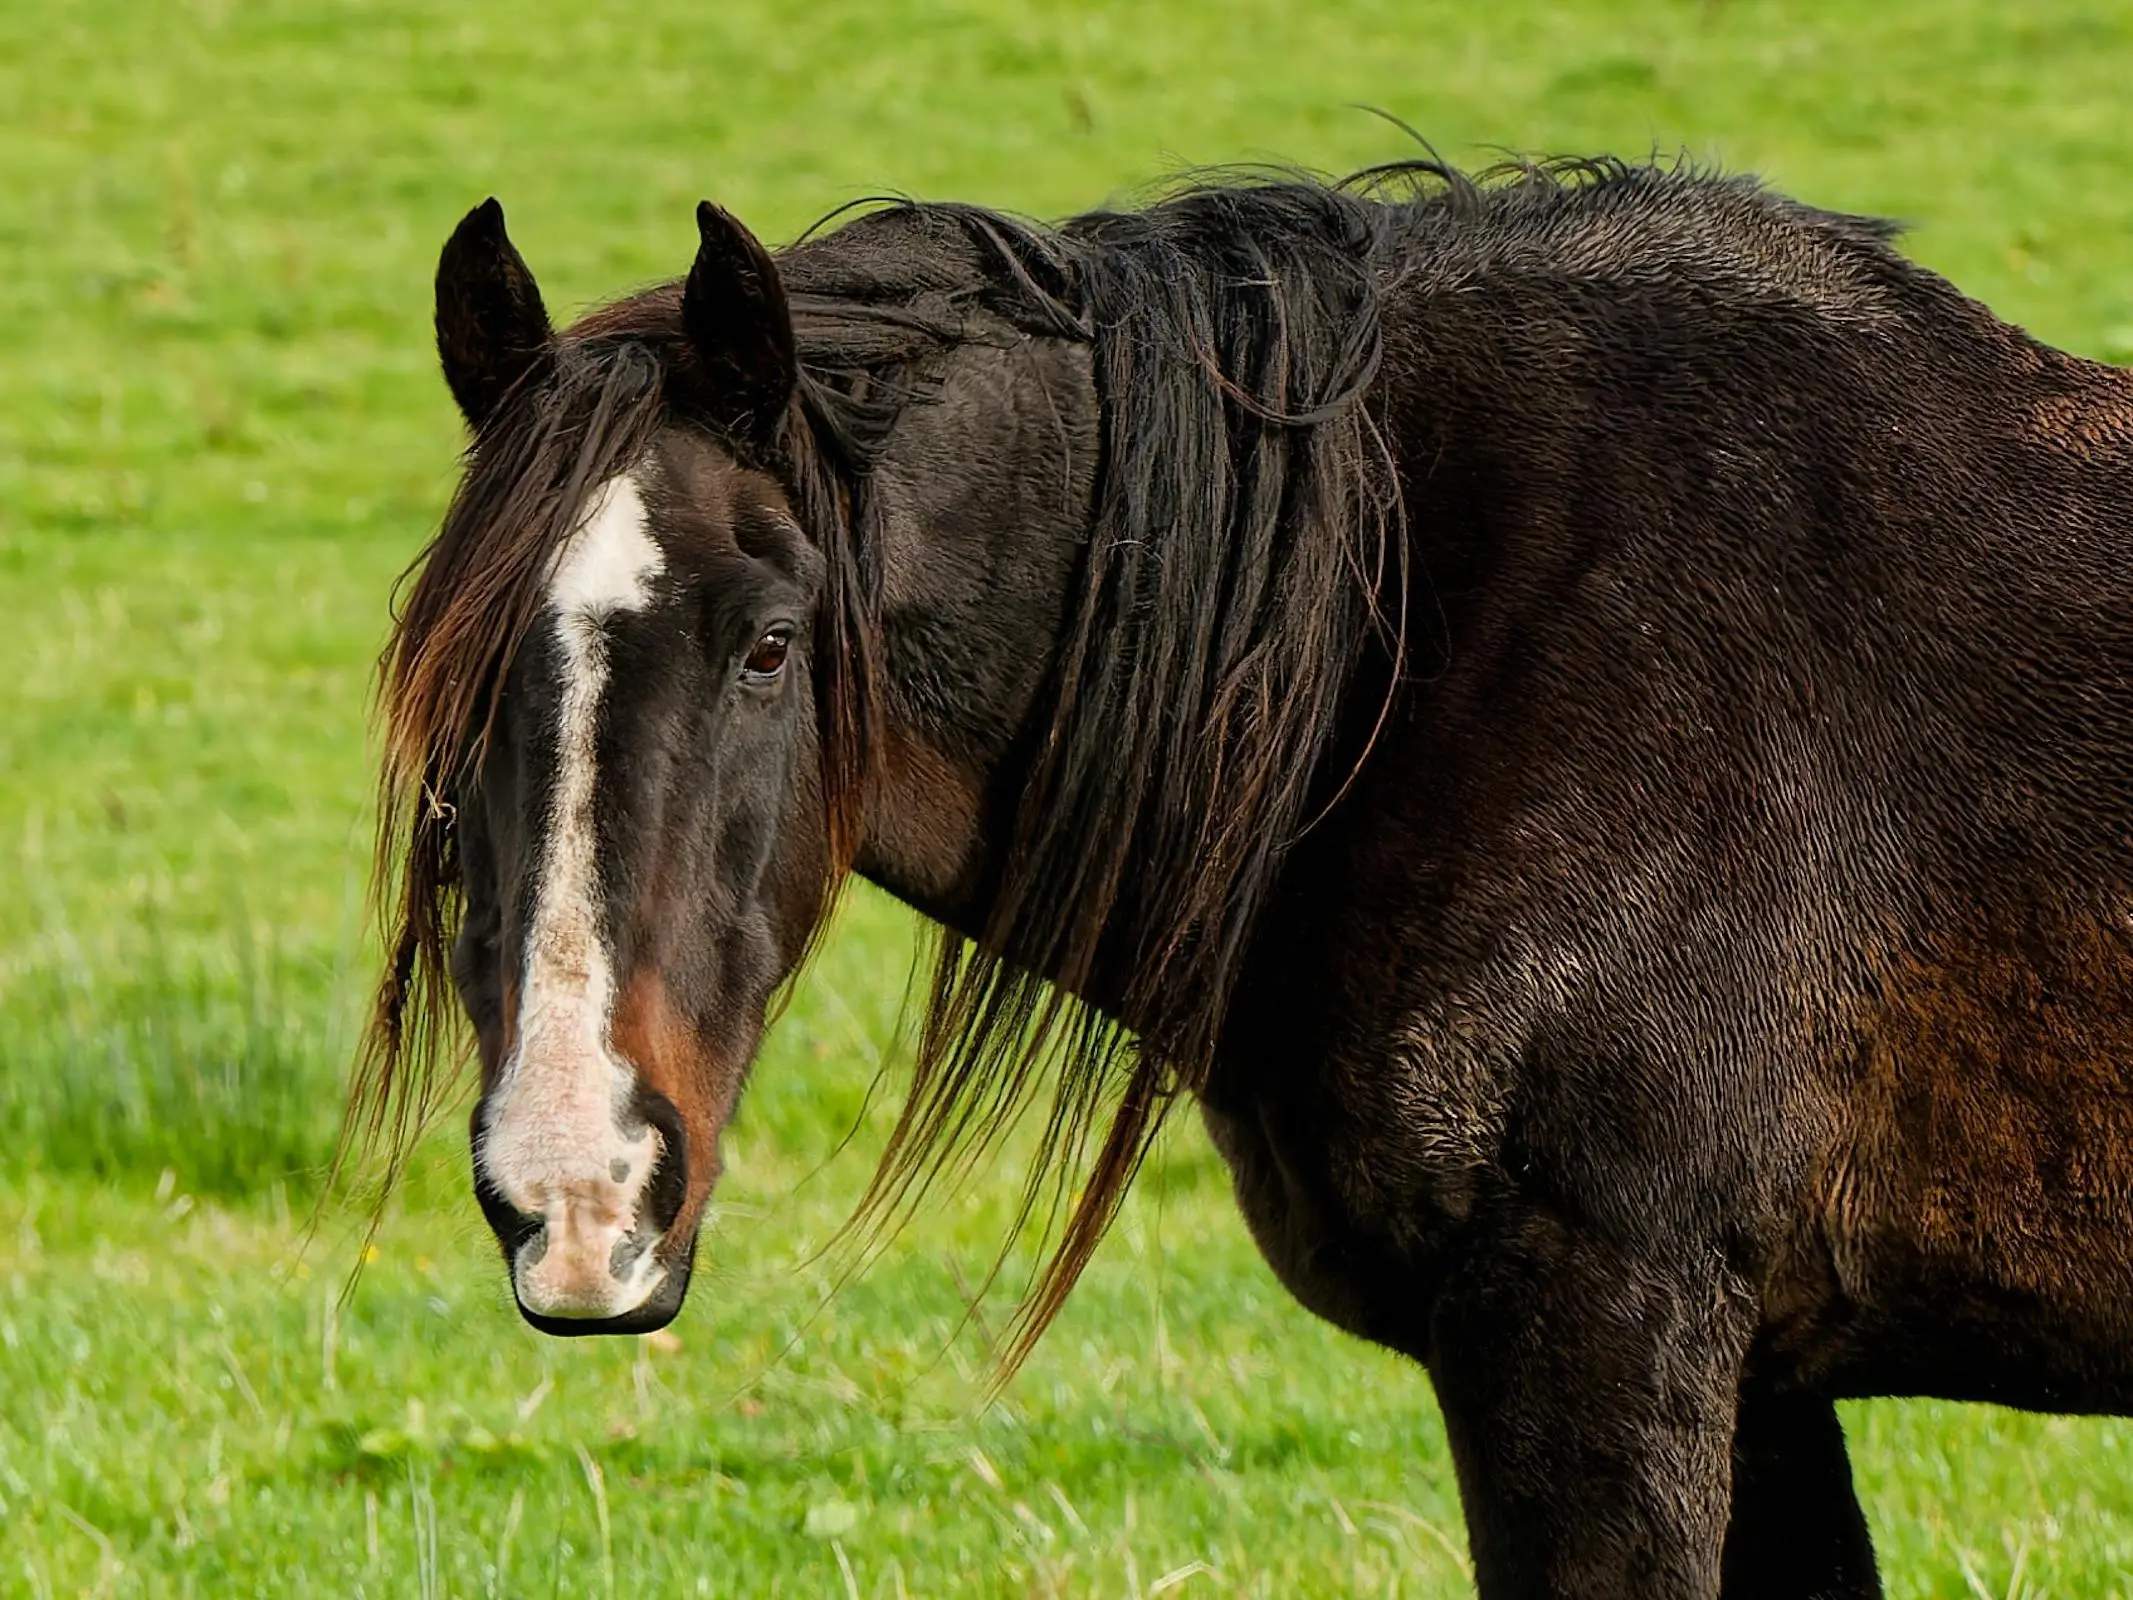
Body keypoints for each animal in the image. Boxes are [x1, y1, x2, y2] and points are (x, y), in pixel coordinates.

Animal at [354, 153, 2133, 1600]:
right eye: (448, 677)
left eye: (771, 646)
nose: (575, 1186)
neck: (1404, 635)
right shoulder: (1763, 1380)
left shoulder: (1607, 1327)